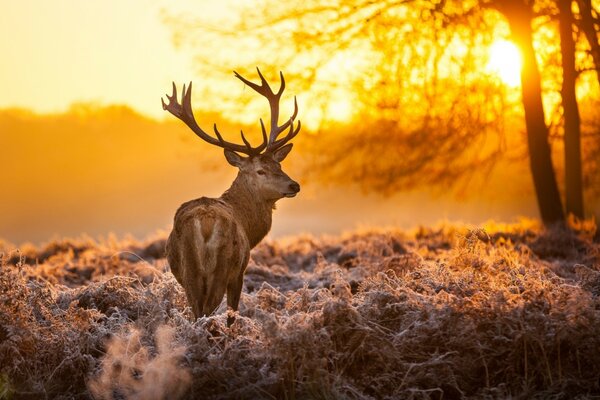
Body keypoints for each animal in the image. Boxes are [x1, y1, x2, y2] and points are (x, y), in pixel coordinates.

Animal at [161, 68, 300, 324]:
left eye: (279, 164)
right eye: (260, 170)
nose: (294, 185)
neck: (248, 226)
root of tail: (205, 223)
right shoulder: (240, 272)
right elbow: (232, 313)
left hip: (189, 272)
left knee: (197, 313)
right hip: (222, 267)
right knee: (206, 313)